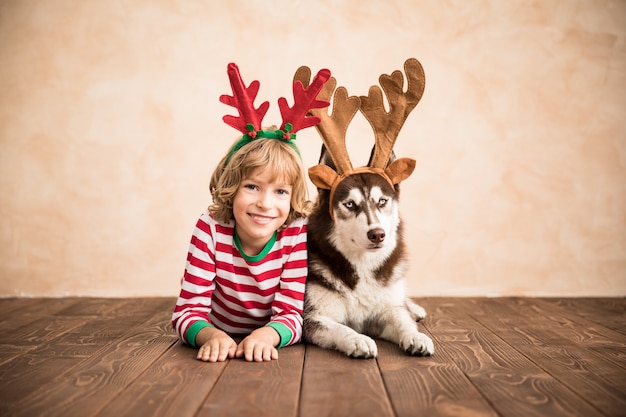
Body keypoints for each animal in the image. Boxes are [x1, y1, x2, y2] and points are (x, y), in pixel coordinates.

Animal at [294, 58, 432, 358]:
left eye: (382, 201)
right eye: (349, 204)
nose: (377, 234)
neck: (362, 268)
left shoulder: (386, 311)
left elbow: (401, 318)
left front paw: (416, 336)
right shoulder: (312, 317)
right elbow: (339, 327)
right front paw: (357, 340)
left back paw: (415, 308)